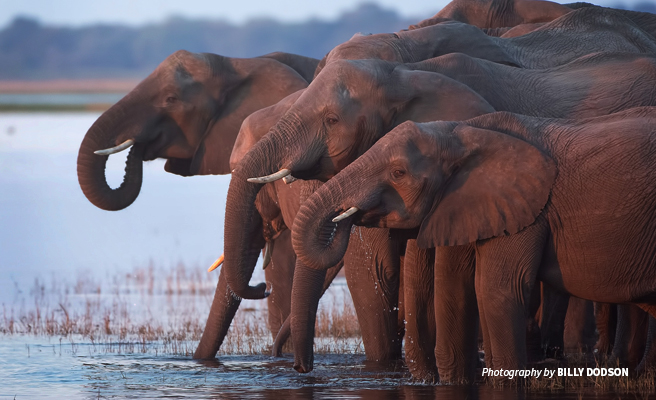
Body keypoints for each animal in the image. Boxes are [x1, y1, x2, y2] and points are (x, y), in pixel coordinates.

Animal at [294, 108, 656, 378]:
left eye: (398, 173)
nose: (302, 369)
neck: (462, 132)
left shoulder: (527, 211)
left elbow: (496, 290)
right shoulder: (468, 205)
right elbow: (460, 288)